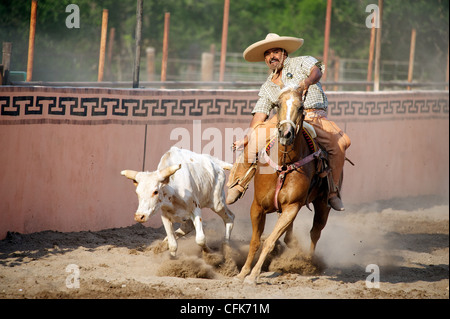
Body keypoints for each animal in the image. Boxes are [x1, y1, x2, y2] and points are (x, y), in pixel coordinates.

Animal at [236, 84, 330, 284]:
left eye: (301, 107)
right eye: (278, 104)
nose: (286, 133)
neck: (284, 165)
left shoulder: (291, 207)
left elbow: (270, 241)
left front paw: (253, 275)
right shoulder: (257, 206)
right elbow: (255, 241)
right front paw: (242, 272)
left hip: (323, 204)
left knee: (315, 231)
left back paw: (309, 263)